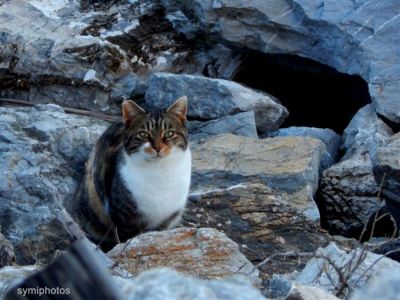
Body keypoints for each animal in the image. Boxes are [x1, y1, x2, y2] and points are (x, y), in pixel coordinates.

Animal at [70, 97, 191, 250]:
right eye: (143, 134)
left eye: (169, 133)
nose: (157, 148)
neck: (160, 171)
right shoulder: (124, 216)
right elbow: (128, 238)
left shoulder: (168, 217)